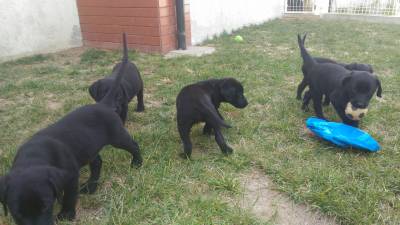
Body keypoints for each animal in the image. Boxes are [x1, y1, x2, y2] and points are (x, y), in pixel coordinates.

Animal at [0, 33, 143, 225]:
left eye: (46, 205)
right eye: (17, 213)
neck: (34, 156)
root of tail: (104, 104)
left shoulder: (70, 176)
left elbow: (69, 196)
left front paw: (66, 214)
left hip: (118, 136)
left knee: (133, 145)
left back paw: (137, 162)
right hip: (88, 146)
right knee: (97, 162)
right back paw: (90, 187)